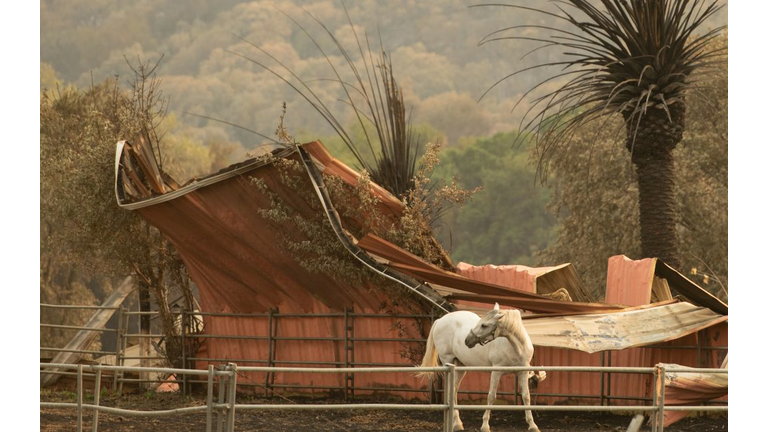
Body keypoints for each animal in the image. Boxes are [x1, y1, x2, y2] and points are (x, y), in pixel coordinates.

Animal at [420, 304, 544, 432]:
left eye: (484, 325)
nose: (467, 340)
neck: (517, 346)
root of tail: (440, 320)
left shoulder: (522, 373)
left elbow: (526, 397)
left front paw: (533, 426)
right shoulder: (496, 372)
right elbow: (491, 397)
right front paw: (485, 426)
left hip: (460, 367)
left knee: (454, 390)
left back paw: (457, 424)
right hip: (447, 362)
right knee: (451, 390)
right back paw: (456, 423)